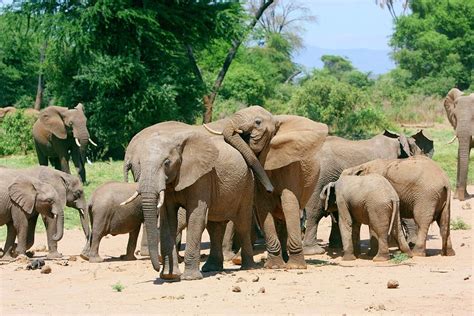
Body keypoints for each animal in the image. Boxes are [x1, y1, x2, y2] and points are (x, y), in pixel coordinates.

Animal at [122, 121, 256, 282]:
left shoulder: (203, 177)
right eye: (139, 164)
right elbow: (168, 220)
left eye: (166, 163)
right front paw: (169, 276)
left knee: (242, 224)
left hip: (247, 185)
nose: (156, 268)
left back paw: (247, 267)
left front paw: (189, 277)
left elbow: (195, 217)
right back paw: (211, 268)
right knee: (215, 227)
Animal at [206, 106, 328, 270]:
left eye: (257, 122)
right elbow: (263, 205)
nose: (271, 189)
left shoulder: (291, 165)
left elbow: (289, 201)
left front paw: (295, 266)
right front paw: (274, 266)